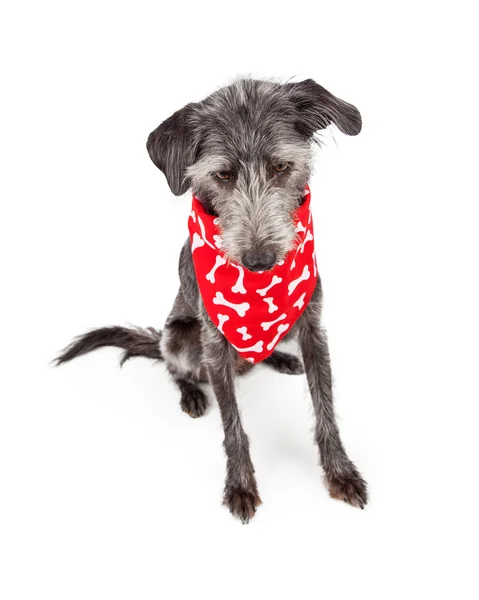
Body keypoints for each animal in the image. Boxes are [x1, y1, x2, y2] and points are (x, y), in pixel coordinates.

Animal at [58, 77, 370, 524]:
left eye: (281, 167)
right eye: (222, 174)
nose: (259, 261)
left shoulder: (313, 329)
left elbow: (325, 408)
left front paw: (340, 472)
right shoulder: (214, 342)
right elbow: (232, 425)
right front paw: (240, 485)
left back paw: (279, 358)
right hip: (178, 336)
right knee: (175, 366)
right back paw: (190, 392)